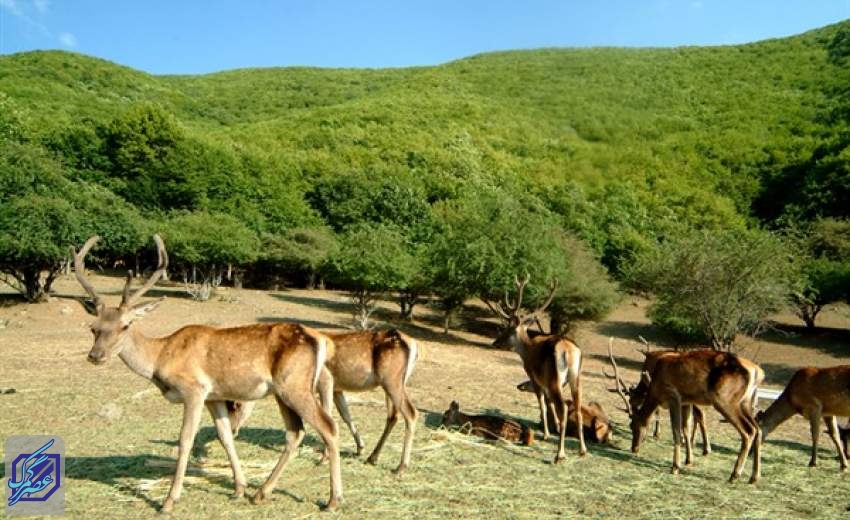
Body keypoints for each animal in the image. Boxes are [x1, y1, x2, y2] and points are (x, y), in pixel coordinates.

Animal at [70, 236, 342, 512]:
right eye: (93, 327)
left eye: (125, 326)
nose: (96, 355)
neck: (161, 357)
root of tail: (319, 339)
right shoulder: (215, 396)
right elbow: (225, 436)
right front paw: (239, 488)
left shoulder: (195, 390)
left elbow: (185, 439)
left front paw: (169, 500)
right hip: (282, 391)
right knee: (295, 433)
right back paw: (260, 493)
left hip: (294, 386)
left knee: (328, 426)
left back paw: (333, 500)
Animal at [225, 330, 418, 476]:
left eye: (237, 404)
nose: (233, 430)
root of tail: (414, 344)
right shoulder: (338, 388)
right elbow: (346, 415)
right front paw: (359, 448)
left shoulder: (326, 379)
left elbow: (329, 414)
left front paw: (324, 458)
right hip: (393, 383)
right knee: (393, 416)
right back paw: (372, 457)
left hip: (392, 380)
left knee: (411, 413)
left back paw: (400, 467)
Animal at [490, 274, 584, 462]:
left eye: (507, 330)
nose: (495, 342)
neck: (527, 350)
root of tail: (568, 350)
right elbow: (548, 403)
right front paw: (553, 428)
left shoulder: (535, 377)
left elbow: (542, 402)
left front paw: (547, 434)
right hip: (575, 377)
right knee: (578, 408)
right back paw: (583, 450)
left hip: (555, 378)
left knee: (563, 406)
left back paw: (559, 454)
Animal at [624, 350, 760, 484]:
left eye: (632, 425)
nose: (634, 448)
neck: (655, 388)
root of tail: (757, 372)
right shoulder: (686, 402)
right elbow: (686, 429)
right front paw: (689, 461)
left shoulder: (674, 397)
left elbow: (676, 431)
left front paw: (675, 467)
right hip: (745, 403)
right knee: (758, 428)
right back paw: (753, 477)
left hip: (724, 400)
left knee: (748, 431)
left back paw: (734, 475)